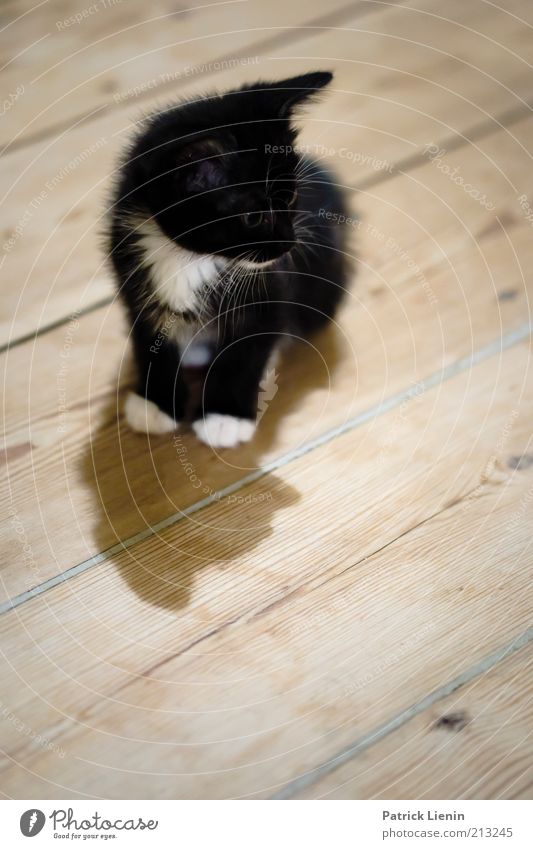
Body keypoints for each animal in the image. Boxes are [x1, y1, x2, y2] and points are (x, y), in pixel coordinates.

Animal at [108, 71, 350, 450]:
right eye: (253, 217)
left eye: (291, 197)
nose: (289, 245)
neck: (188, 257)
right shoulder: (131, 275)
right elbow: (149, 341)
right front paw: (154, 403)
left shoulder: (272, 287)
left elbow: (246, 349)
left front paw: (225, 417)